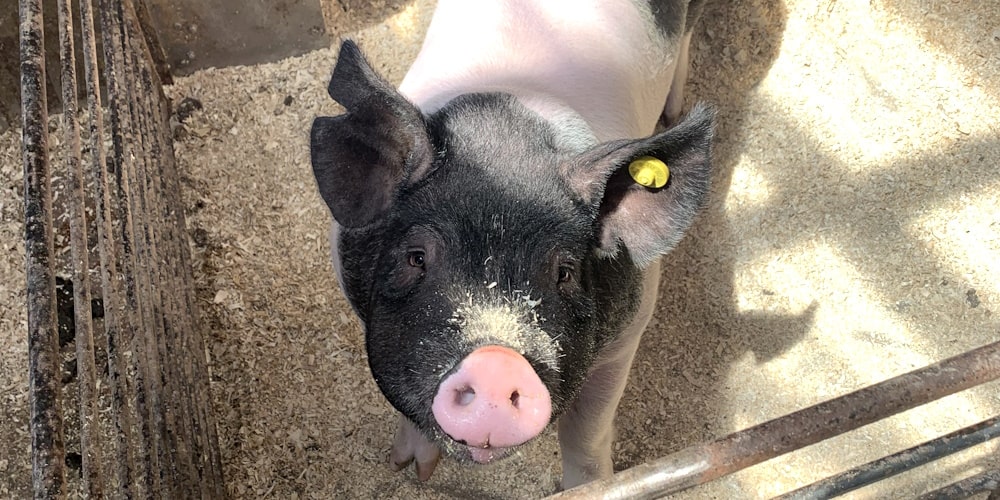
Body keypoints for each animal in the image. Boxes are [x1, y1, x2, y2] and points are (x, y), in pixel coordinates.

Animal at [310, 0, 712, 492]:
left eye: (565, 272)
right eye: (416, 257)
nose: (496, 363)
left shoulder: (629, 332)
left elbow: (586, 431)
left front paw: (592, 488)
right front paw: (409, 469)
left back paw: (674, 112)